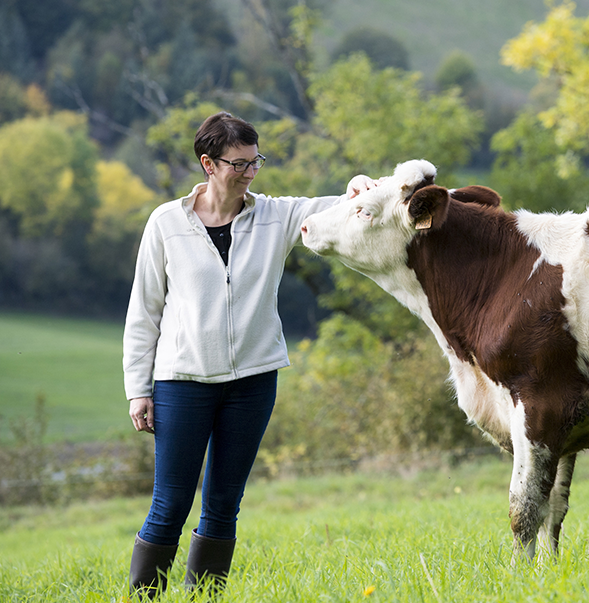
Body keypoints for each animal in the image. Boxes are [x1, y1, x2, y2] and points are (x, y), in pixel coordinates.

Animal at [300, 159, 588, 560]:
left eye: (364, 211)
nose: (306, 225)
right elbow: (554, 509)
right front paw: (550, 569)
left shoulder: (544, 402)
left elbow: (525, 507)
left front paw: (522, 573)